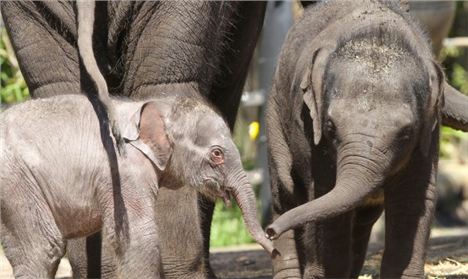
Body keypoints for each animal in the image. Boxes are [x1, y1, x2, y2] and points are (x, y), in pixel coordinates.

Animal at [0, 94, 274, 279]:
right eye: (217, 154)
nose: (273, 243)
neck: (157, 105)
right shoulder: (125, 173)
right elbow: (138, 237)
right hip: (16, 183)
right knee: (43, 248)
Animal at [264, 1, 464, 278]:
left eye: (406, 132)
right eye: (330, 126)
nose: (269, 232)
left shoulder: (428, 130)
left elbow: (412, 200)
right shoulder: (311, 130)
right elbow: (325, 196)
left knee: (360, 219)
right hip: (276, 116)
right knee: (285, 194)